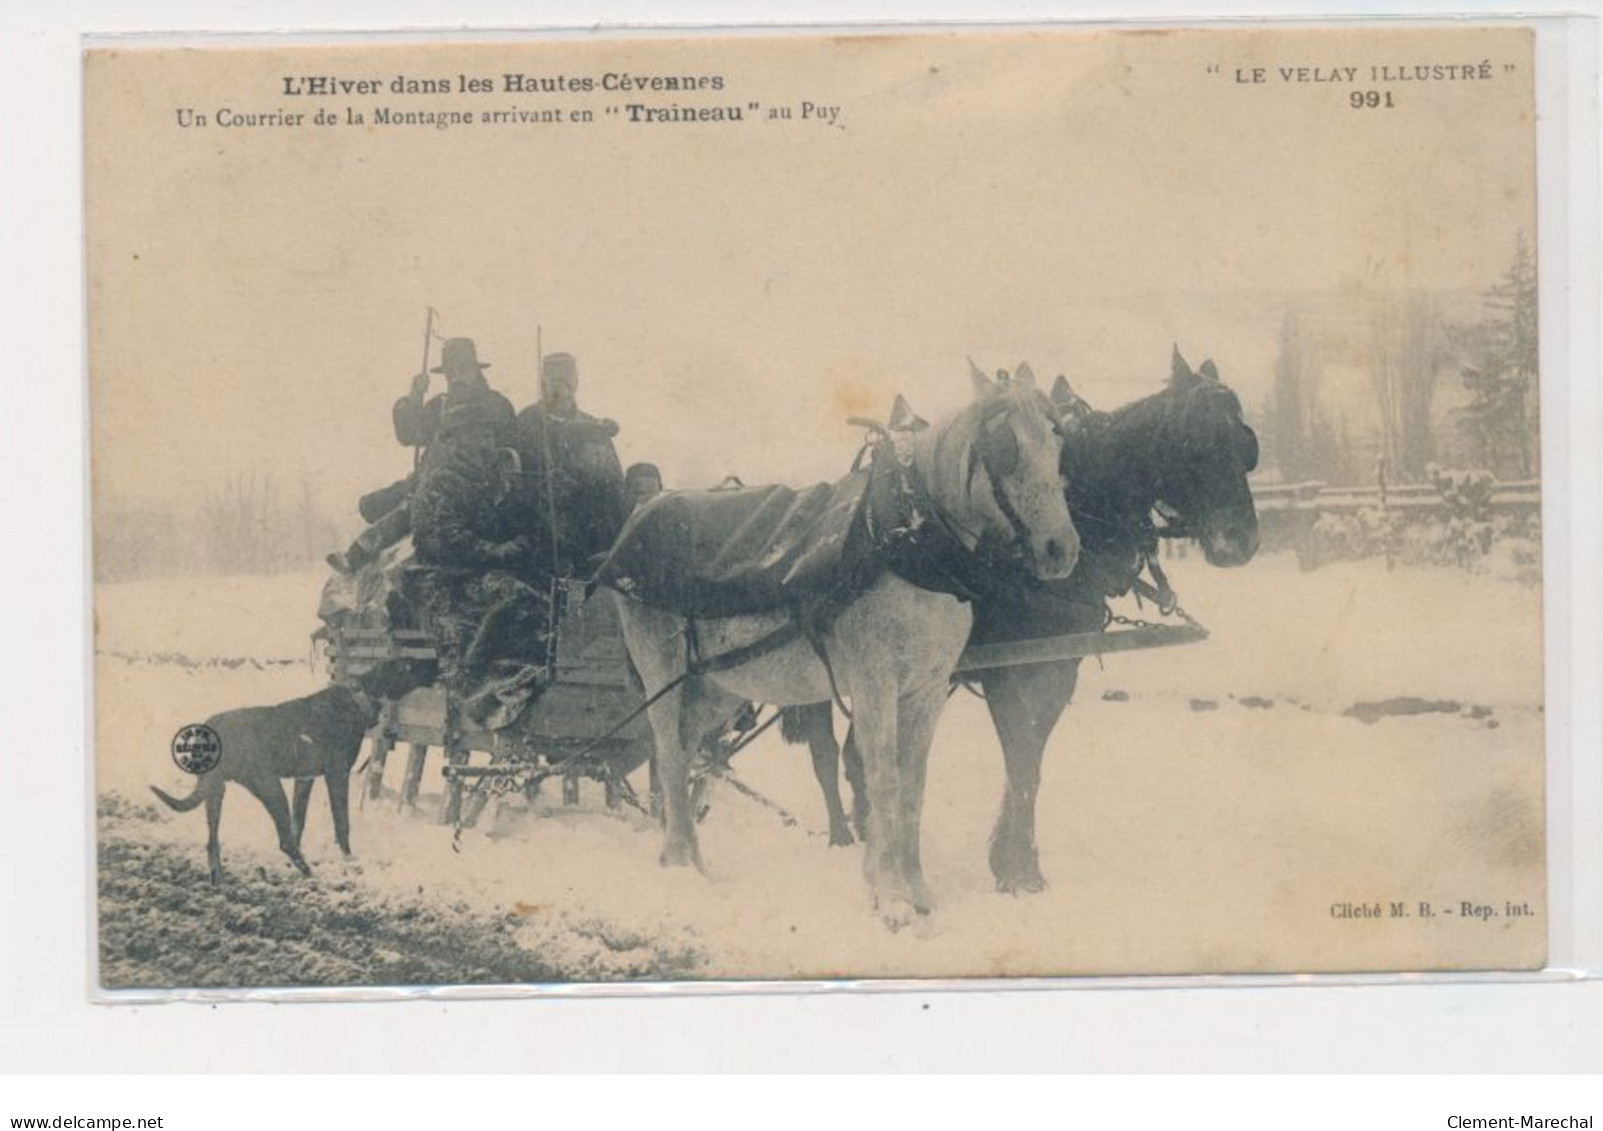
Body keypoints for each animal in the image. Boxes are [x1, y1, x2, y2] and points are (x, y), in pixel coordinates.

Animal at [146, 660, 426, 884]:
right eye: (408, 665)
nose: (432, 664)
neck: (358, 699)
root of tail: (212, 726)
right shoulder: (337, 775)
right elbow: (341, 825)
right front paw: (349, 860)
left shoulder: (304, 780)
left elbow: (298, 823)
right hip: (269, 786)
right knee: (284, 841)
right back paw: (308, 870)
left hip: (215, 791)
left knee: (213, 842)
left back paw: (219, 877)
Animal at [782, 347, 1256, 884]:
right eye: (1194, 441)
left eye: (1246, 442)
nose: (1242, 542)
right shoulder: (1004, 672)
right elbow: (1022, 757)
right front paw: (1017, 869)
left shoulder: (1057, 665)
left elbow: (1030, 759)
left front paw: (1013, 859)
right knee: (825, 751)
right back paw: (842, 835)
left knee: (855, 753)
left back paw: (869, 829)